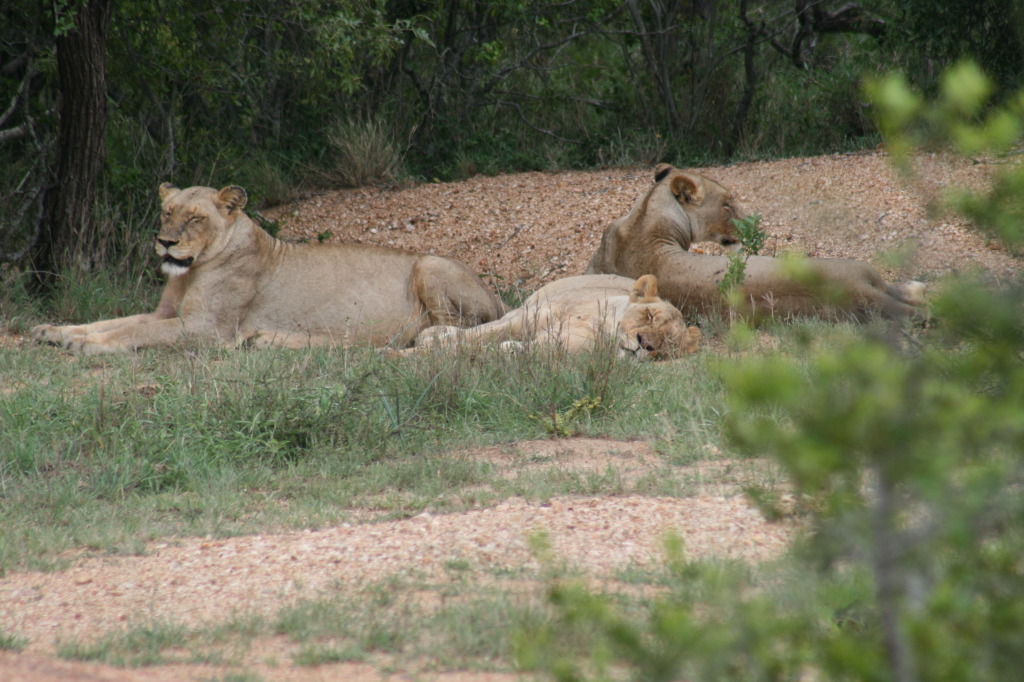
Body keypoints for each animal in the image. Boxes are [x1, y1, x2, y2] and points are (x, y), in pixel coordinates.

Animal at [34, 180, 505, 352]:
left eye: (196, 218)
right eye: (167, 212)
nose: (165, 243)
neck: (192, 271)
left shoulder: (209, 328)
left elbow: (134, 332)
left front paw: (87, 346)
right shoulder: (166, 313)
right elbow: (111, 321)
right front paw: (55, 332)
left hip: (429, 265)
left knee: (442, 331)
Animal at [411, 272, 700, 358]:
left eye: (666, 342)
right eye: (649, 315)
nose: (644, 344)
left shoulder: (553, 349)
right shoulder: (519, 323)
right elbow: (470, 338)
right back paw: (431, 333)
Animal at [585, 163, 929, 319]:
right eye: (727, 204)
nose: (750, 221)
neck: (645, 218)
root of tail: (854, 291)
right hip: (860, 270)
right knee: (896, 290)